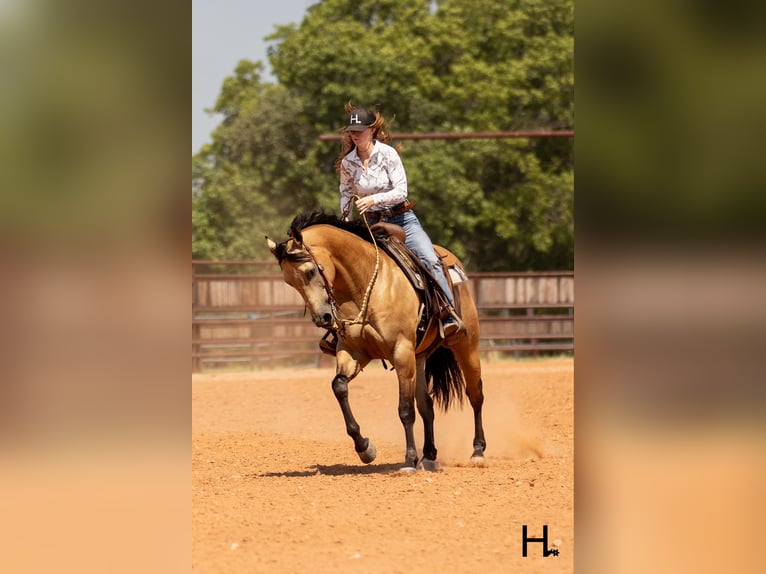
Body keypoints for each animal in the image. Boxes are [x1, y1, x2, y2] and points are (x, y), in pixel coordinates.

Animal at [266, 211, 486, 472]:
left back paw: (477, 452)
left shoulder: (401, 352)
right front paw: (365, 448)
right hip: (419, 357)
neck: (363, 287)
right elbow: (339, 386)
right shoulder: (353, 352)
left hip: (466, 346)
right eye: (289, 282)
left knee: (475, 394)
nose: (323, 318)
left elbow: (405, 409)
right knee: (427, 405)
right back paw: (429, 456)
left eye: (310, 271)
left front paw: (409, 460)